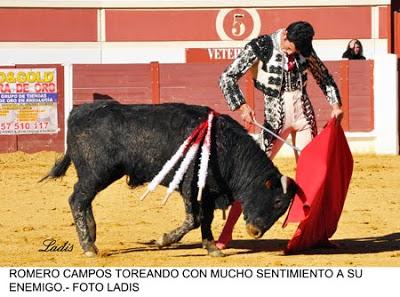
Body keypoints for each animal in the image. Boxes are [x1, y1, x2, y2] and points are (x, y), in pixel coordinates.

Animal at [41, 100, 296, 256]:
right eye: (276, 201)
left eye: (283, 208)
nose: (255, 232)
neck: (225, 147)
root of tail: (78, 112)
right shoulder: (190, 188)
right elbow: (194, 219)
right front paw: (162, 240)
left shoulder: (209, 192)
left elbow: (206, 220)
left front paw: (212, 247)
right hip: (96, 174)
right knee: (77, 200)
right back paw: (88, 246)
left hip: (96, 176)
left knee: (84, 201)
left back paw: (92, 237)